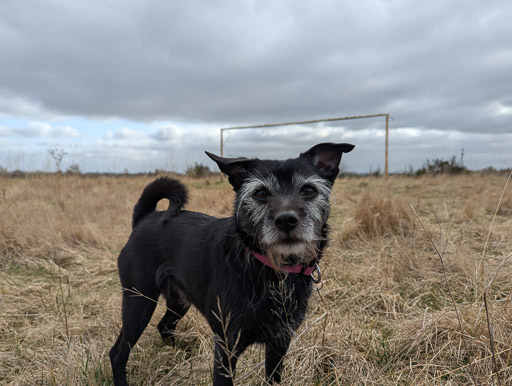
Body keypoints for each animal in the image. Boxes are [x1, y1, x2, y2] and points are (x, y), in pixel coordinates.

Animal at [110, 142, 354, 382]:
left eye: (309, 190)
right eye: (260, 193)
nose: (286, 220)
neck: (271, 271)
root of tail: (144, 219)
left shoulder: (279, 343)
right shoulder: (227, 349)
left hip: (178, 301)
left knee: (164, 325)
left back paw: (178, 352)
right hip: (138, 301)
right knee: (118, 353)